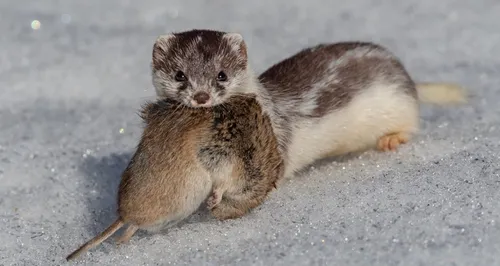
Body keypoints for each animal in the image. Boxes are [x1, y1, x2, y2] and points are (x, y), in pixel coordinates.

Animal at [65, 94, 286, 260]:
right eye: (254, 154)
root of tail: (123, 216)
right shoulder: (222, 163)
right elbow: (222, 185)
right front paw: (212, 202)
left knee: (128, 232)